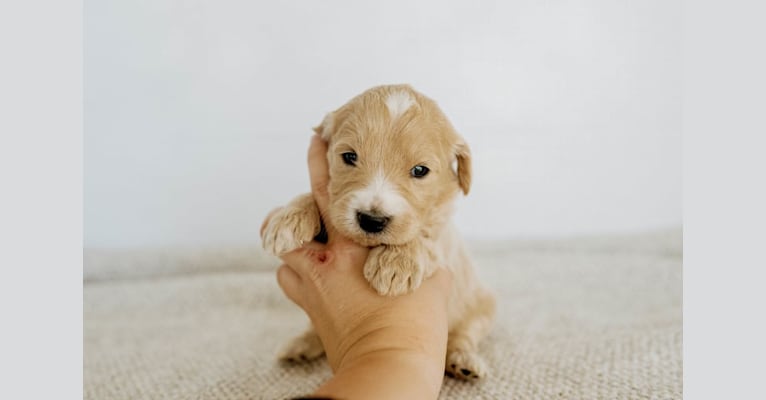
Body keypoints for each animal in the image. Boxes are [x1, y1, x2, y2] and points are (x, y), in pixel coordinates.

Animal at [260, 85, 496, 382]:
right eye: (349, 157)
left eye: (420, 170)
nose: (372, 220)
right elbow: (315, 200)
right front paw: (288, 218)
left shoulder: (444, 237)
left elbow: (425, 238)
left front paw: (395, 264)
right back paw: (300, 345)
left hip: (480, 309)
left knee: (463, 335)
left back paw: (463, 361)